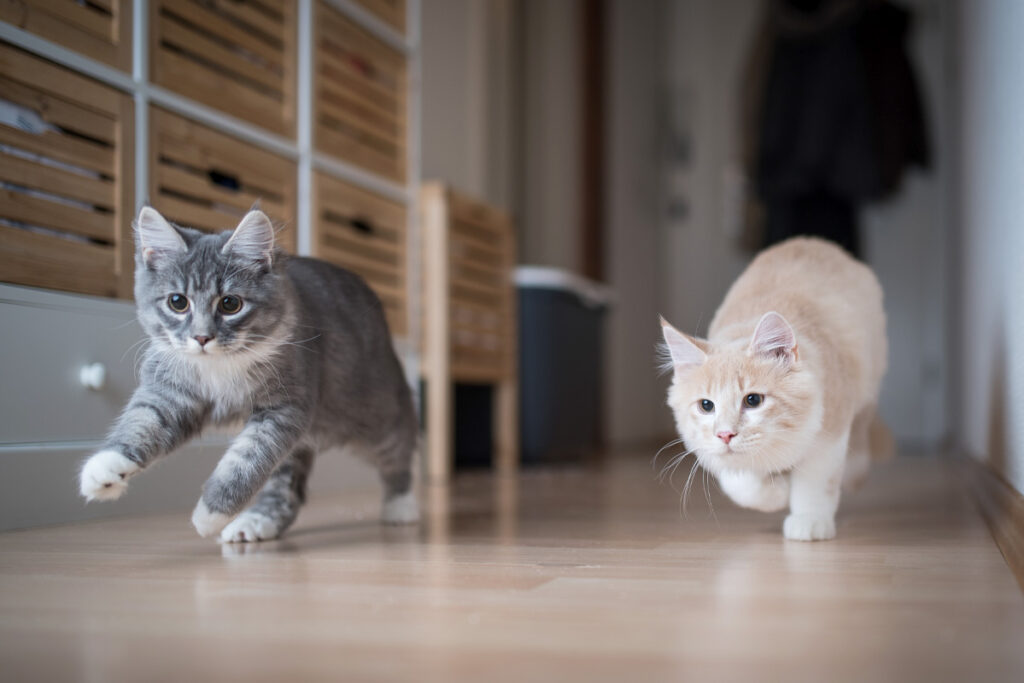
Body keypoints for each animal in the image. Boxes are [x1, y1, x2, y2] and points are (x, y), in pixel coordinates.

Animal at [75, 205, 419, 540]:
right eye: (177, 302)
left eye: (230, 304)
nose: (202, 338)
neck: (219, 367)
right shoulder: (170, 392)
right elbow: (142, 422)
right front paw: (105, 468)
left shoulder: (283, 409)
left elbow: (245, 461)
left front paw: (211, 513)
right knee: (286, 490)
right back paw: (256, 523)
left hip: (373, 416)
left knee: (401, 448)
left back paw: (402, 506)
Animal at [663, 237, 888, 540]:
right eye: (706, 405)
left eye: (753, 400)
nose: (725, 434)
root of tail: (813, 241)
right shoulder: (711, 452)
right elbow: (742, 484)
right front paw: (777, 492)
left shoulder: (829, 429)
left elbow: (815, 482)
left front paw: (809, 520)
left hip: (869, 378)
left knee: (862, 428)